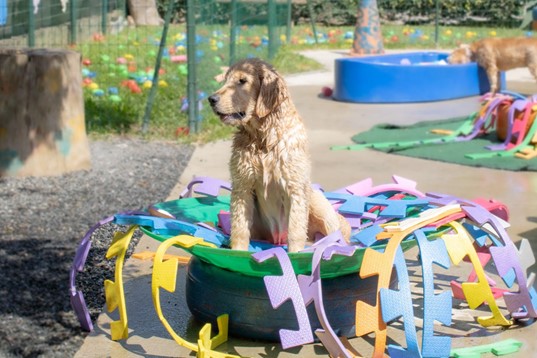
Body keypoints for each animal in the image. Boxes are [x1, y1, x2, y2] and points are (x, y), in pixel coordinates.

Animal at [207, 58, 350, 252]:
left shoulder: (295, 187)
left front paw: (295, 254)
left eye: (242, 81)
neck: (264, 138)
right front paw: (237, 252)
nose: (211, 99)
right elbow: (239, 227)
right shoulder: (242, 185)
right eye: (226, 80)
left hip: (316, 201)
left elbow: (296, 229)